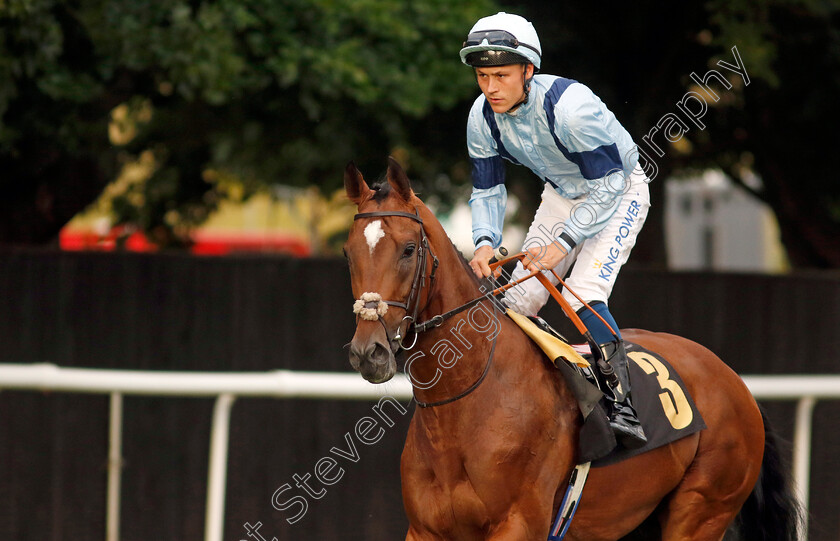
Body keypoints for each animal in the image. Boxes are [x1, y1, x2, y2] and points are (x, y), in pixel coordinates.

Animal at [340, 157, 796, 540]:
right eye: (348, 252)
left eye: (408, 249)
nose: (368, 352)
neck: (468, 403)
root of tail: (736, 383)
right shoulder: (426, 530)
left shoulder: (518, 525)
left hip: (702, 510)